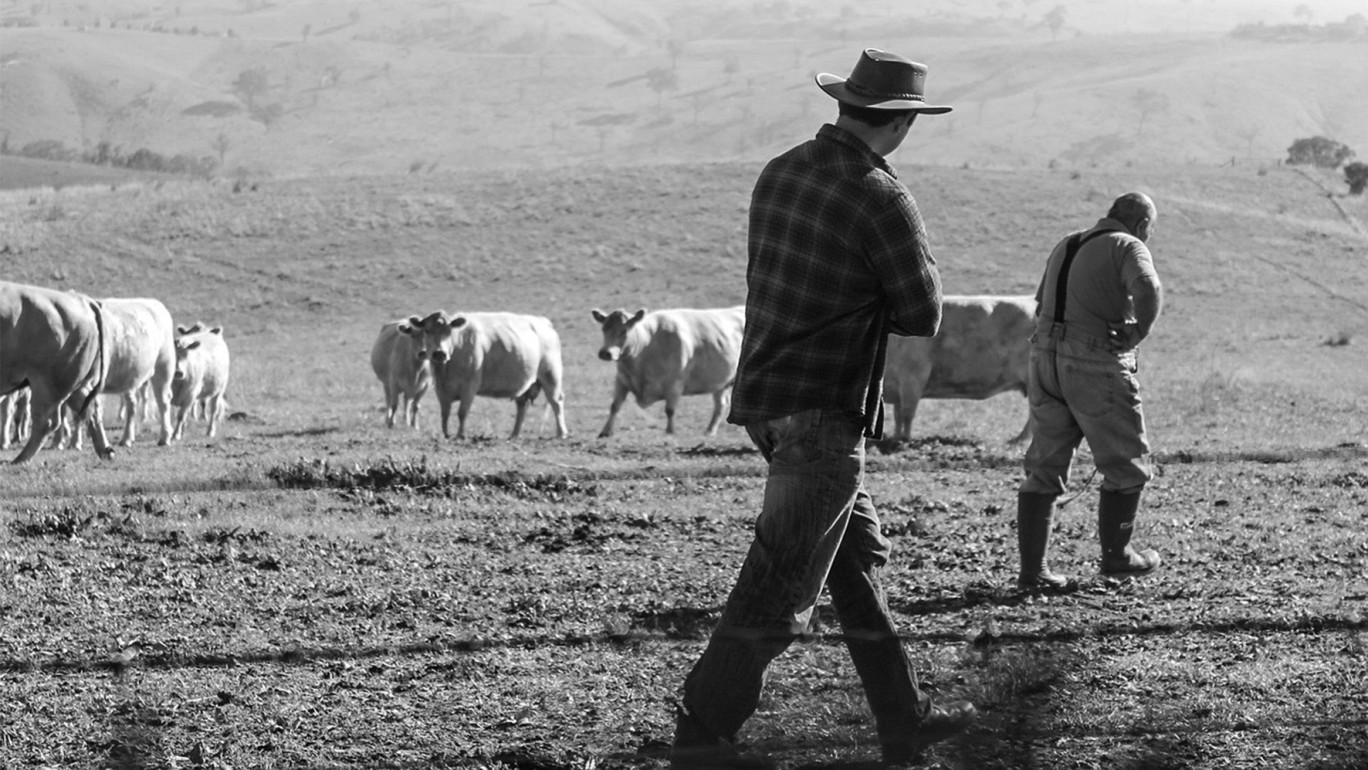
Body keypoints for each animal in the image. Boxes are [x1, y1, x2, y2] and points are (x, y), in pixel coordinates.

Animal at [0, 281, 113, 465]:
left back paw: (20, 459)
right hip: (77, 385)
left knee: (47, 422)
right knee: (91, 410)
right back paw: (106, 451)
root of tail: (84, 300)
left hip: (47, 386)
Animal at [399, 307, 566, 440]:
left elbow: (462, 412)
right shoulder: (441, 388)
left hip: (551, 374)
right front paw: (446, 434)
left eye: (449, 331)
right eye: (427, 331)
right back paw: (514, 435)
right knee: (522, 406)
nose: (439, 353)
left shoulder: (470, 386)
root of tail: (543, 322)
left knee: (556, 402)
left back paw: (561, 433)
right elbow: (445, 413)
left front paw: (460, 435)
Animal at [585, 307, 744, 440]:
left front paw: (670, 432)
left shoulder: (675, 383)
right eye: (604, 329)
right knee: (721, 405)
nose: (606, 353)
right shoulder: (622, 380)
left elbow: (670, 410)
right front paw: (605, 431)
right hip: (721, 382)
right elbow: (615, 406)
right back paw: (709, 431)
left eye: (624, 331)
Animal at [880, 292, 1028, 443]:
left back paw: (1018, 439)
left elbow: (907, 413)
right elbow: (898, 415)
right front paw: (895, 437)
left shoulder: (913, 376)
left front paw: (905, 439)